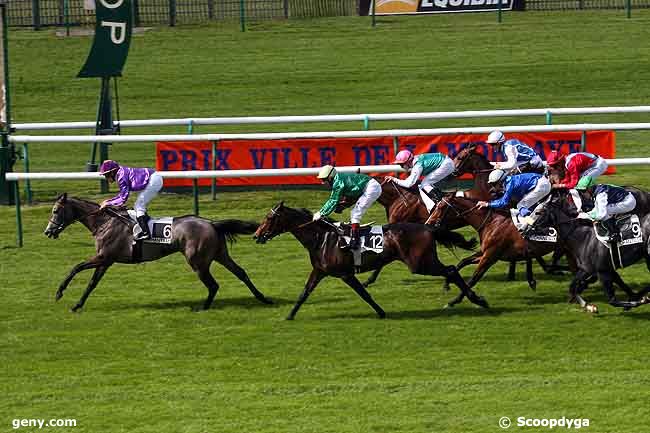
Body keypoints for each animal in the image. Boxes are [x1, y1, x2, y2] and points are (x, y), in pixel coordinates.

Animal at [43, 192, 270, 310]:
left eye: (55, 211)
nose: (48, 231)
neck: (104, 222)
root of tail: (211, 223)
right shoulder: (106, 260)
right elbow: (91, 283)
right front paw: (77, 305)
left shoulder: (103, 256)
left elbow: (76, 267)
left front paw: (59, 292)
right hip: (219, 255)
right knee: (241, 273)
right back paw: (263, 298)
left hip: (198, 261)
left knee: (213, 285)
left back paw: (203, 307)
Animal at [253, 202, 486, 318]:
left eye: (270, 218)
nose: (257, 235)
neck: (321, 238)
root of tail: (429, 228)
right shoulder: (320, 271)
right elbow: (304, 293)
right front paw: (290, 315)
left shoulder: (345, 274)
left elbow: (363, 294)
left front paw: (380, 312)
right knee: (451, 270)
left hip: (420, 263)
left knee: (451, 270)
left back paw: (477, 299)